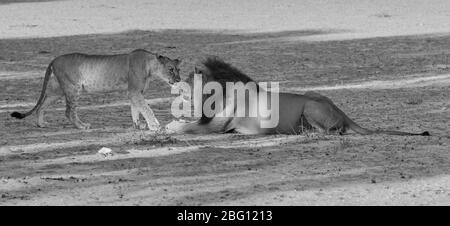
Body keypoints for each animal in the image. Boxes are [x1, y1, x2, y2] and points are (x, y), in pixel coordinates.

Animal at [10, 49, 180, 131]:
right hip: (73, 88)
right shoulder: (134, 91)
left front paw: (138, 126)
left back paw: (41, 124)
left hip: (59, 90)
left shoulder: (135, 93)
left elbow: (136, 110)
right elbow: (147, 109)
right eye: (171, 69)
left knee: (42, 105)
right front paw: (155, 126)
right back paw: (82, 126)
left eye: (179, 69)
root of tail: (54, 59)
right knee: (69, 111)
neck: (150, 66)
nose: (178, 80)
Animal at [165, 56, 428, 136]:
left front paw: (169, 127)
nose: (176, 85)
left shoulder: (216, 127)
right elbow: (185, 123)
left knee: (335, 131)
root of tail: (342, 112)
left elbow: (185, 127)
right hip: (313, 96)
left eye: (187, 79)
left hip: (310, 105)